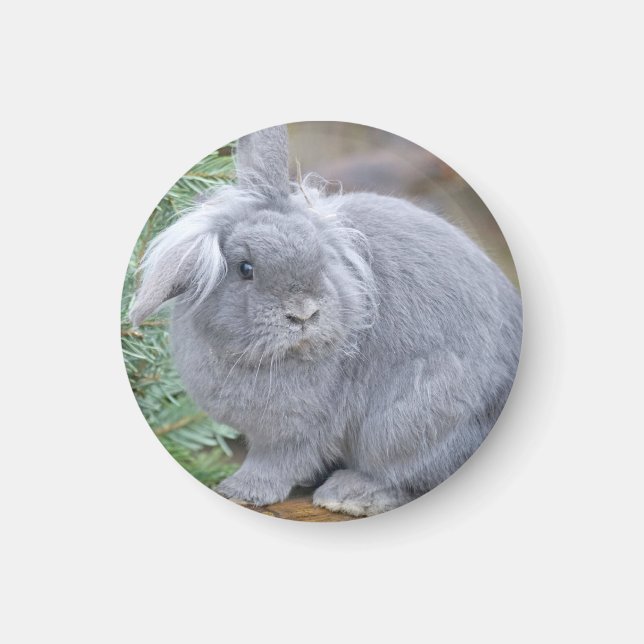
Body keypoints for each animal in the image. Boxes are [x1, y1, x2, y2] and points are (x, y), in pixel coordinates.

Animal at [130, 125, 522, 517]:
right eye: (245, 269)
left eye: (321, 258)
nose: (303, 313)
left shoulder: (295, 432)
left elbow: (277, 463)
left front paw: (241, 490)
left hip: (411, 418)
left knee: (409, 477)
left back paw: (348, 495)